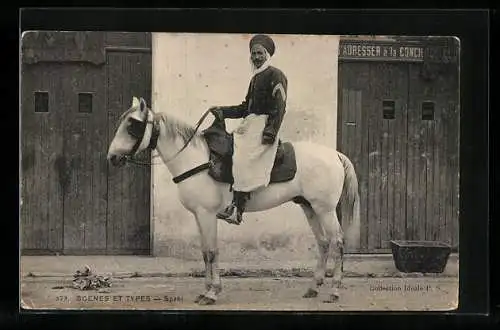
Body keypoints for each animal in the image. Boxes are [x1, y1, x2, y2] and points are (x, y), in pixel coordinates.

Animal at [107, 96, 362, 306]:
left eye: (132, 125)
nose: (112, 158)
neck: (196, 159)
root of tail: (335, 154)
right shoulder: (199, 216)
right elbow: (204, 252)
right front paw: (206, 290)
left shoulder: (207, 214)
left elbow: (212, 251)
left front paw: (212, 293)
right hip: (309, 207)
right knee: (323, 242)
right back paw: (313, 287)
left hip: (325, 209)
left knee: (337, 242)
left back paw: (334, 291)